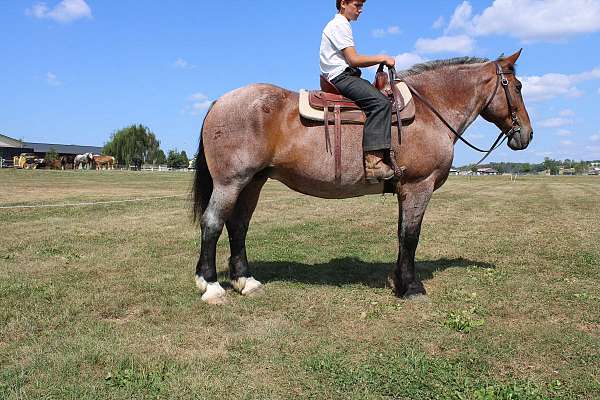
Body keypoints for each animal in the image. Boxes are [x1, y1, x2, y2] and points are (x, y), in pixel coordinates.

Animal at [191, 50, 528, 304]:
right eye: (517, 86)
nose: (526, 134)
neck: (429, 111)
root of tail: (220, 102)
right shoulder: (419, 186)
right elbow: (411, 236)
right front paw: (412, 287)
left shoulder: (406, 190)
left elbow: (401, 234)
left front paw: (399, 281)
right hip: (230, 182)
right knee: (213, 223)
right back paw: (211, 286)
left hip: (253, 182)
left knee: (238, 225)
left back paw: (245, 281)